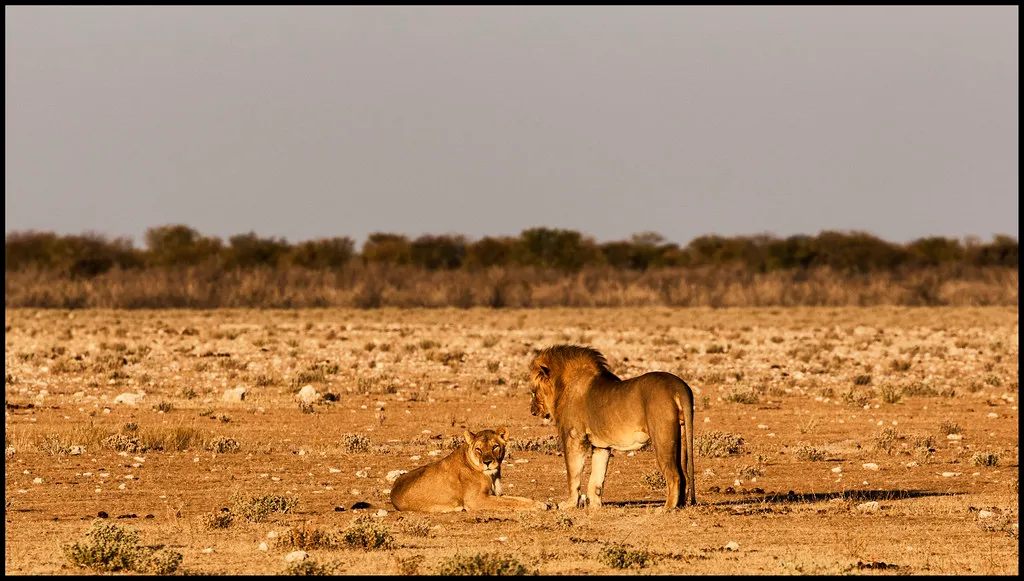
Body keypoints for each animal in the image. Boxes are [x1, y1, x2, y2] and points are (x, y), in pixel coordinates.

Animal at [387, 428, 548, 514]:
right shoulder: (476, 500)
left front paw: (541, 503)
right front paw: (536, 506)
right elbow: (510, 503)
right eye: (479, 449)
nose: (487, 462)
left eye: (495, 446)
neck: (491, 475)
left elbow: (516, 499)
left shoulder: (495, 494)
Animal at [528, 346, 696, 508]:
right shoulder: (601, 446)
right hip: (681, 436)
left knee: (674, 475)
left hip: (662, 438)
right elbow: (597, 477)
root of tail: (678, 386)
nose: (532, 411)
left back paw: (666, 508)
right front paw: (595, 506)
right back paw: (680, 505)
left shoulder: (574, 437)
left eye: (533, 391)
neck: (561, 385)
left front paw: (569, 504)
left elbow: (573, 475)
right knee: (684, 475)